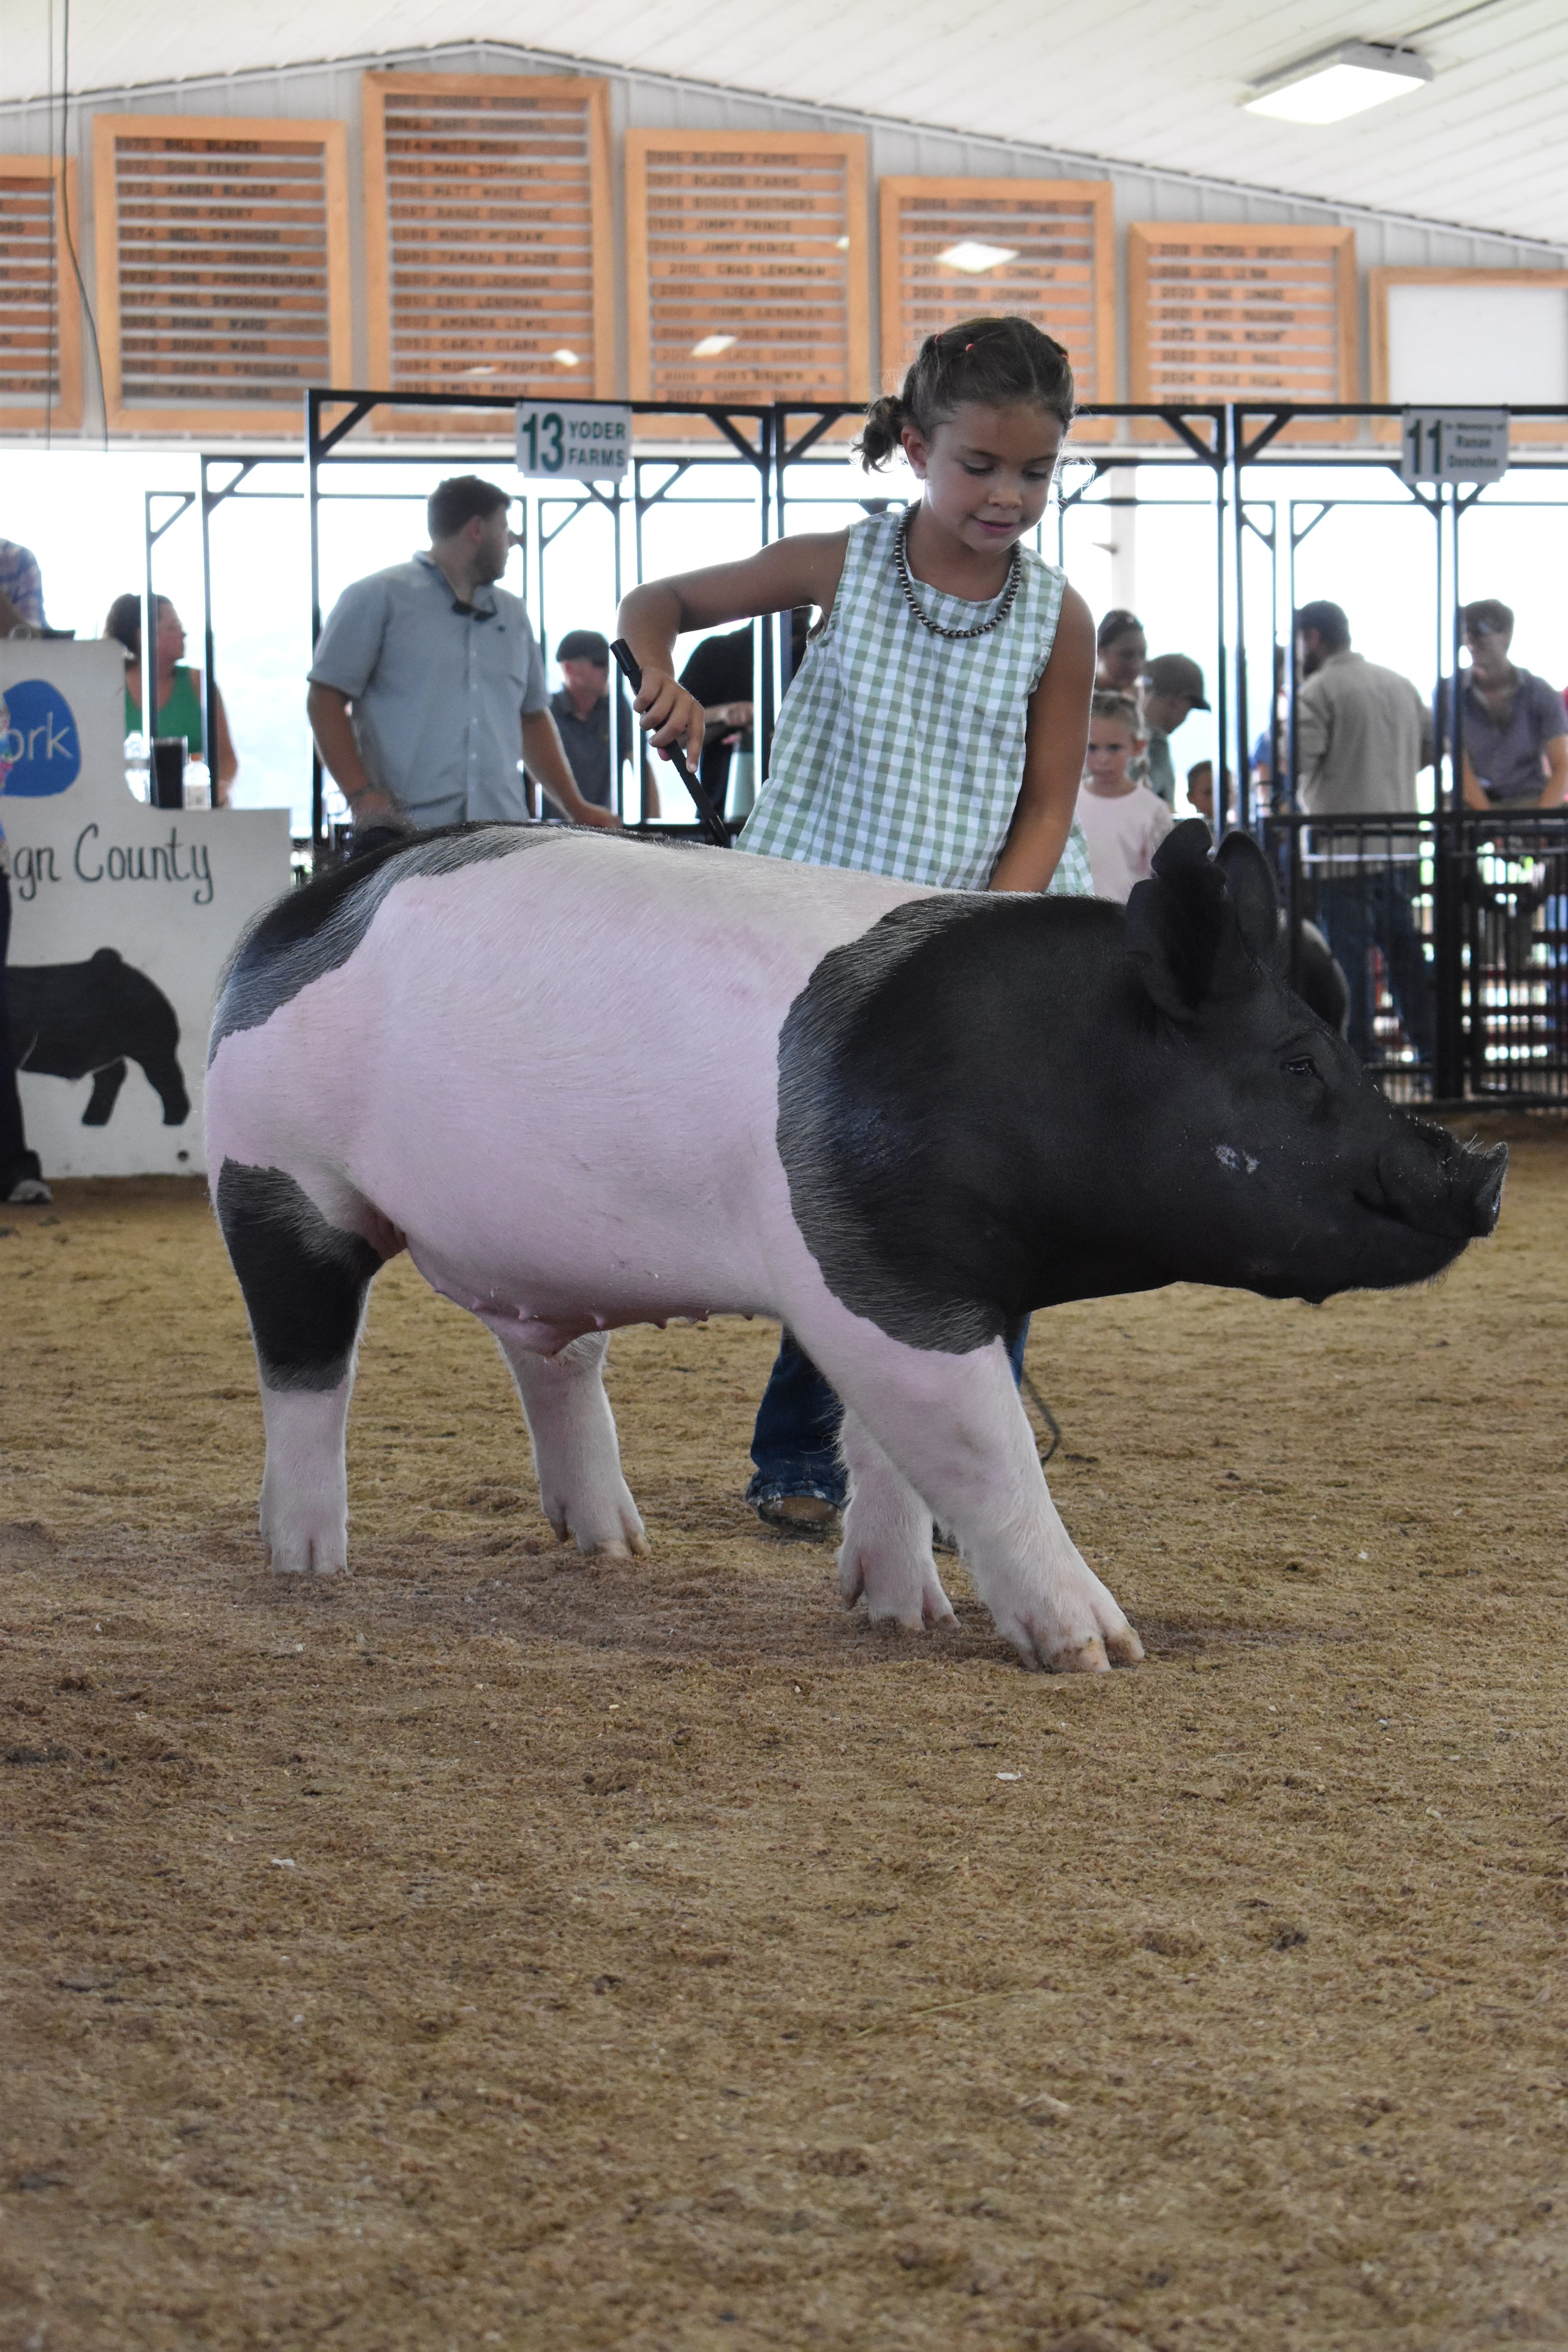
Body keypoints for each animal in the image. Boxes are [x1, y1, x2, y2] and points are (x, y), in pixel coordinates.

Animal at [205, 818, 1504, 1674]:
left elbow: (892, 1452)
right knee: (304, 1369)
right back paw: (312, 1564)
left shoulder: (901, 1287)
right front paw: (1102, 1649)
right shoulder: (881, 1274)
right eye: (1299, 1062)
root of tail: (296, 912)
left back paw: (617, 1548)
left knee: (555, 1365)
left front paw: (901, 1614)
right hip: (271, 1173)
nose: (1481, 1169)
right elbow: (986, 1454)